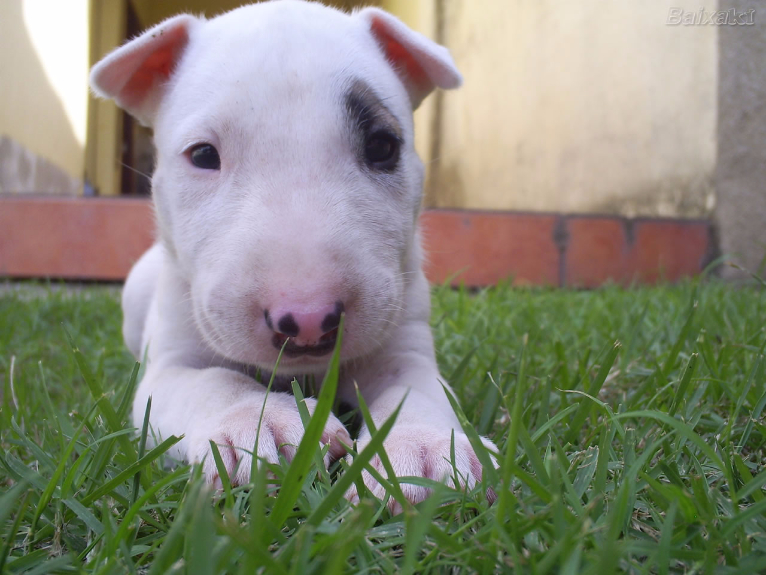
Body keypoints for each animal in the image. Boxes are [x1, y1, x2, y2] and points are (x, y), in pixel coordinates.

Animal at [91, 0, 498, 512]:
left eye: (382, 146)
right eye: (203, 155)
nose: (307, 321)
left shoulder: (403, 344)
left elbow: (415, 388)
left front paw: (424, 448)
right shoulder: (169, 368)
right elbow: (212, 381)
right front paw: (258, 423)